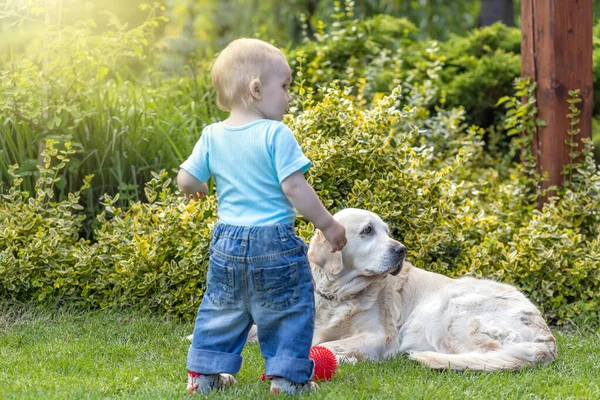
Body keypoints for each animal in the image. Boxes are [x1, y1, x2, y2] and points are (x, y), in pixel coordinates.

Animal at [310, 209, 556, 372]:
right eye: (367, 230)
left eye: (387, 231)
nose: (401, 250)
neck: (338, 296)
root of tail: (547, 339)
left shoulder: (382, 337)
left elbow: (324, 345)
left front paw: (341, 357)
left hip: (446, 310)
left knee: (481, 356)